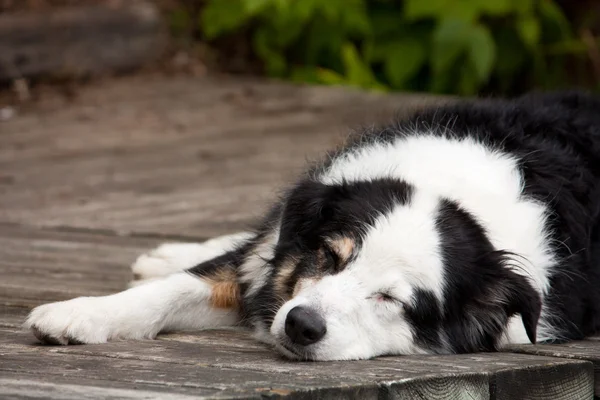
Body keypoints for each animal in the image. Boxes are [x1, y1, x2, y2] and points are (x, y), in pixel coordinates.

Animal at [25, 92, 600, 360]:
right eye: (330, 256)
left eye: (392, 299)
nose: (302, 325)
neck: (454, 185)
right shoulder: (273, 264)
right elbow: (177, 288)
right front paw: (81, 314)